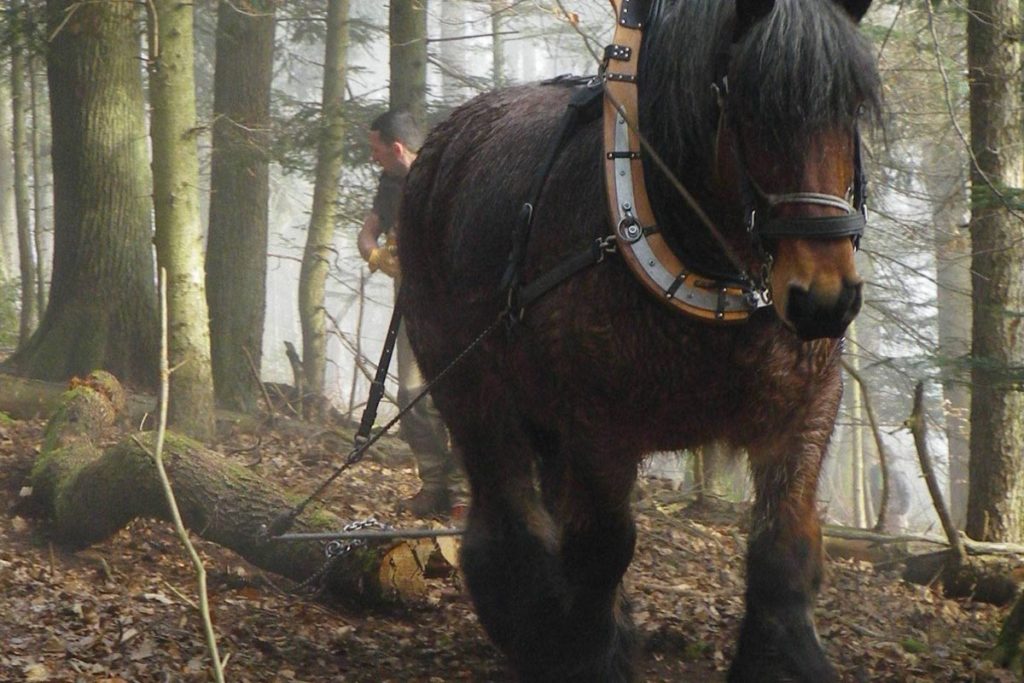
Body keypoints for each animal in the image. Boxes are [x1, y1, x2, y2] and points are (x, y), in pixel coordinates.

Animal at [397, 0, 880, 679]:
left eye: (852, 107)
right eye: (749, 107)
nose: (825, 299)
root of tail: (438, 149)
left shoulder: (805, 409)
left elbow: (783, 548)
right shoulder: (598, 425)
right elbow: (603, 547)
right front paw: (585, 653)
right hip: (467, 383)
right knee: (506, 504)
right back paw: (531, 625)